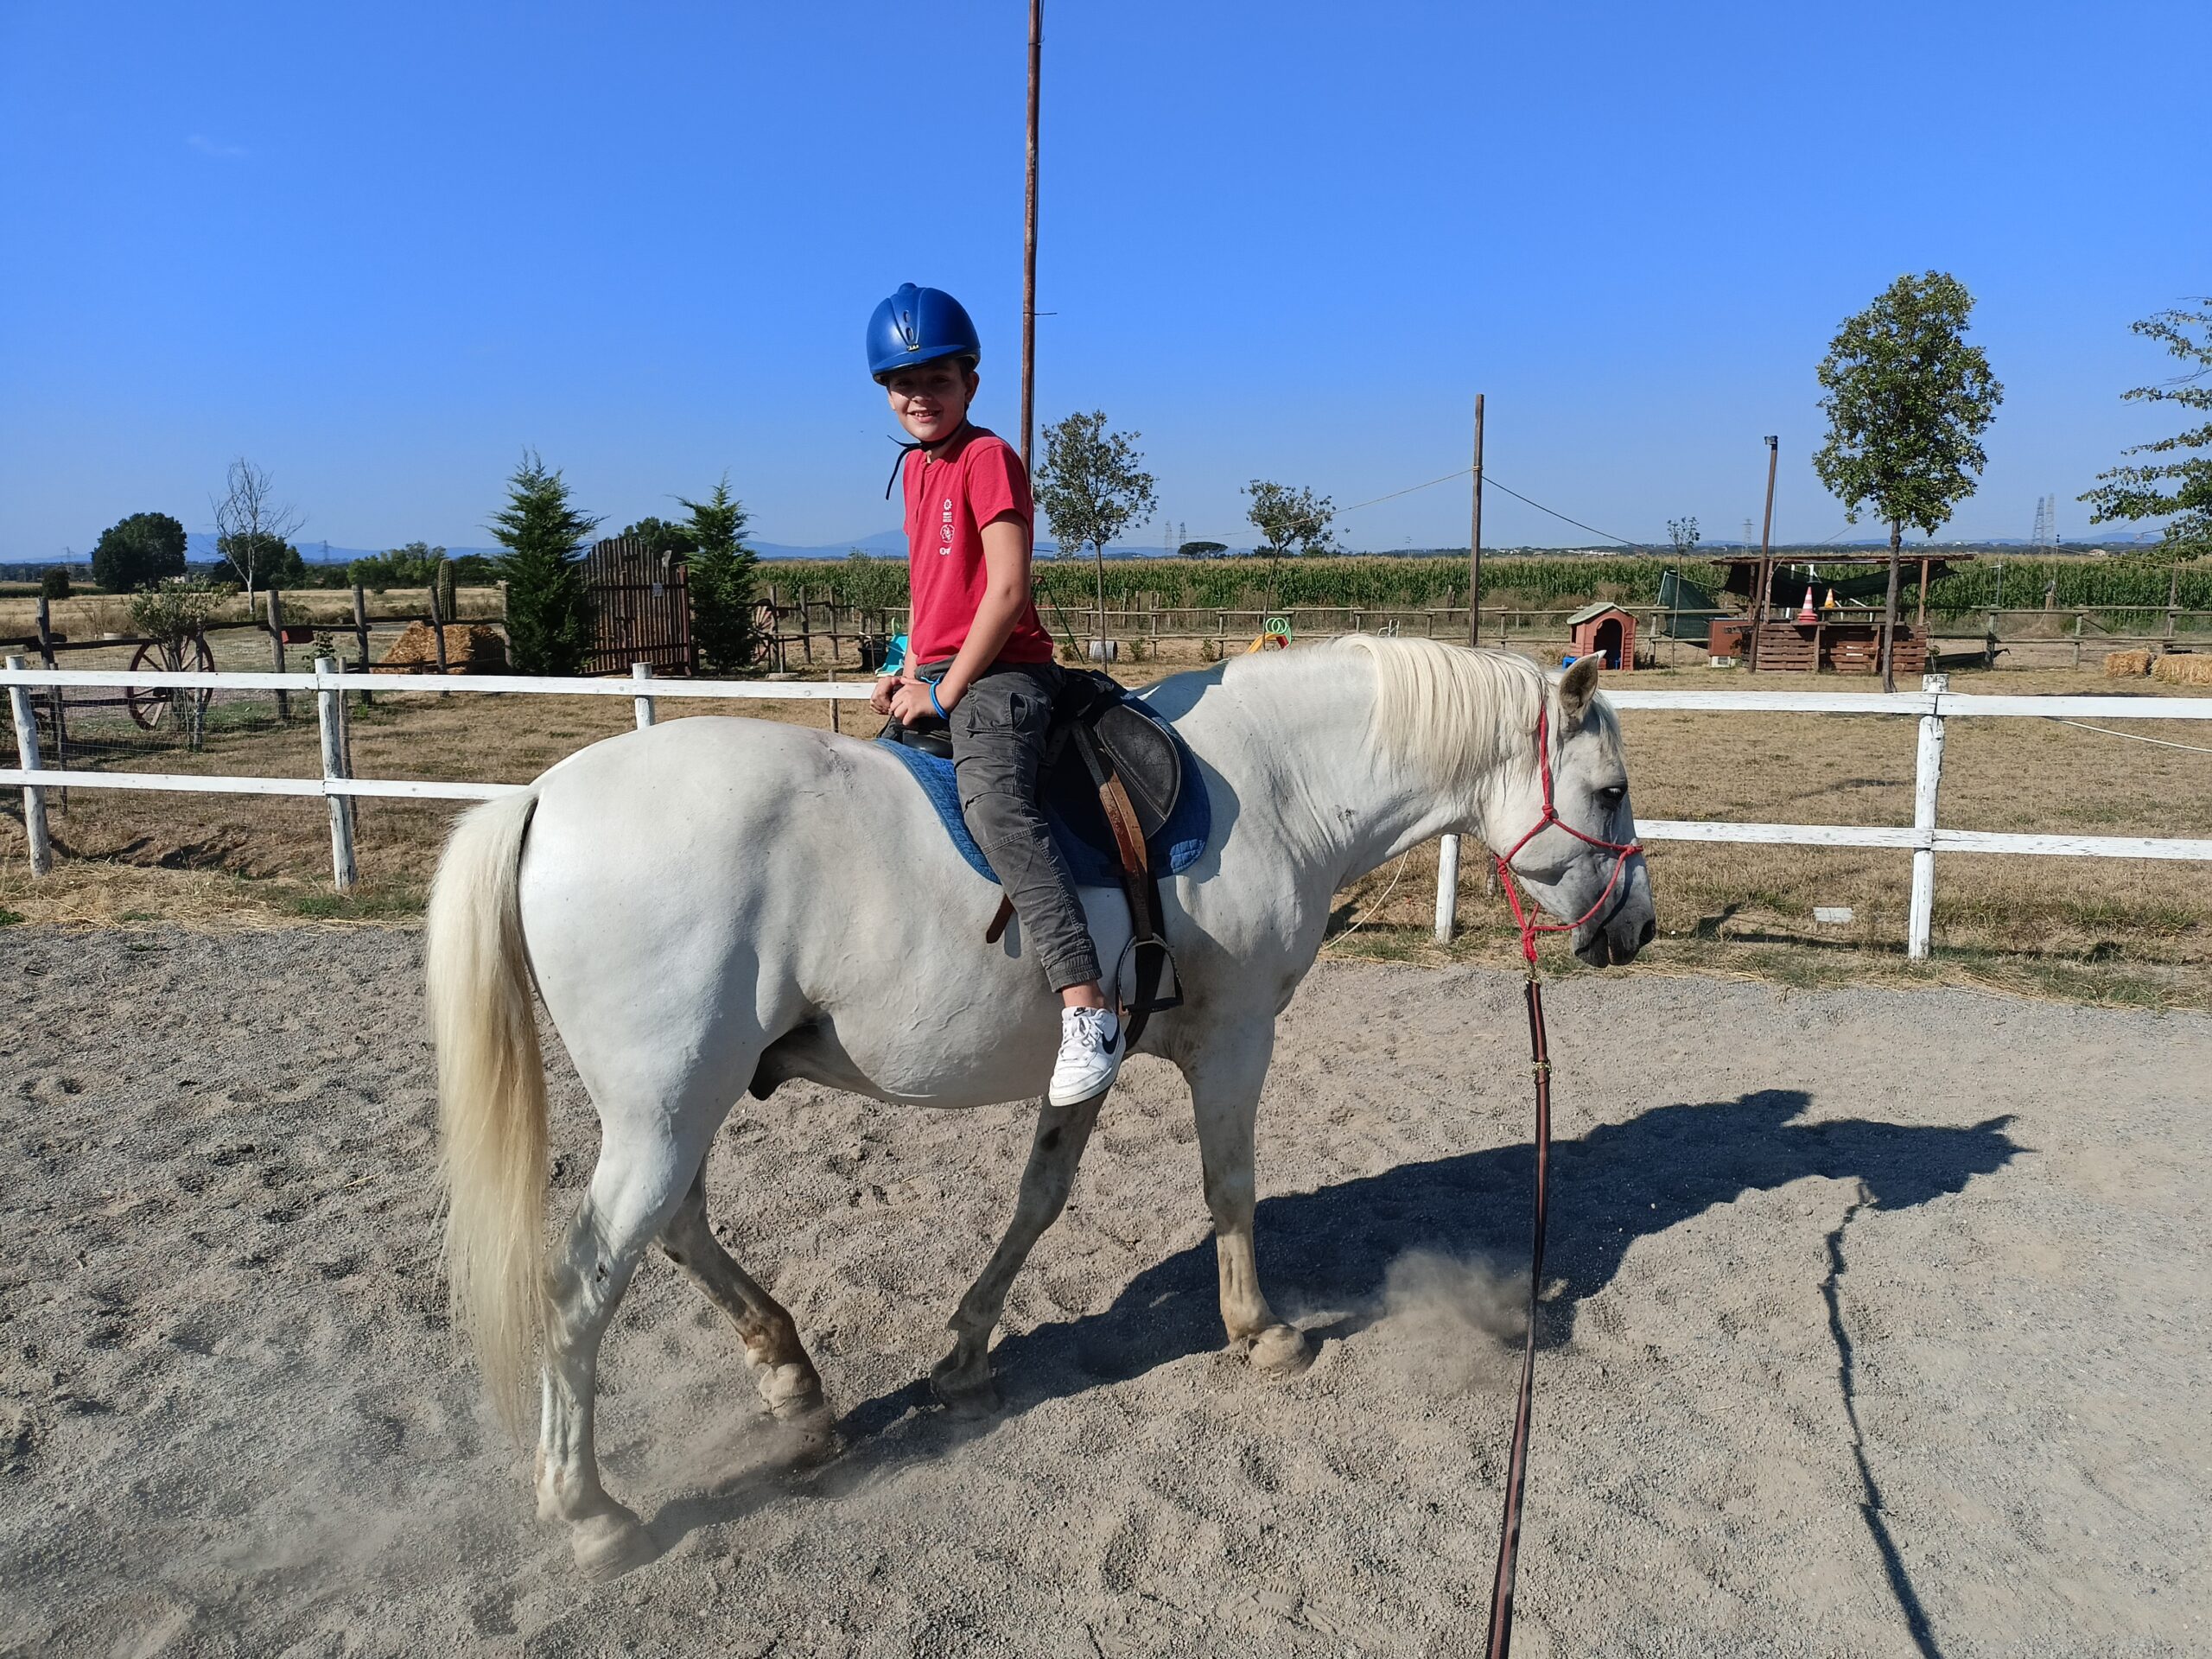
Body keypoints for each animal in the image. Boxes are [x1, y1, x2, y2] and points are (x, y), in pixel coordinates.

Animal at [427, 637, 1645, 1574]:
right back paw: (592, 1514)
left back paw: (794, 1384)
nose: (1631, 928)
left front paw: (966, 1353)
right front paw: (1259, 1332)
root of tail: (543, 798)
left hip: (678, 1110)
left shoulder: (1097, 1052)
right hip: (668, 1108)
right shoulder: (1235, 1042)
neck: (1276, 785)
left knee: (679, 1230)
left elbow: (1041, 1196)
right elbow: (1230, 1185)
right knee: (583, 1282)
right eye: (1611, 793)